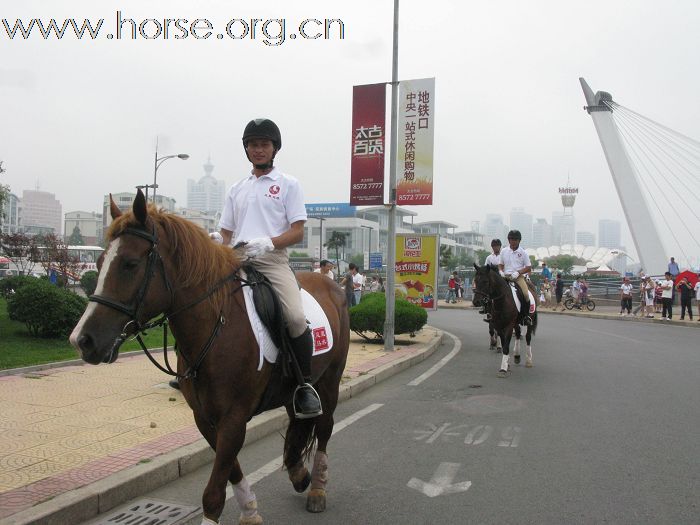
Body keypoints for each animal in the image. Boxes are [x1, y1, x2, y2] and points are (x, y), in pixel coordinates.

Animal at [69, 191, 348, 524]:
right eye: (99, 262)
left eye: (130, 264)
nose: (82, 340)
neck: (216, 327)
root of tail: (332, 285)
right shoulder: (205, 418)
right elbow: (231, 471)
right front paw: (250, 511)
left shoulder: (233, 418)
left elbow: (214, 493)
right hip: (293, 387)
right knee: (297, 420)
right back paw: (298, 473)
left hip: (329, 382)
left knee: (324, 428)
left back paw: (317, 488)